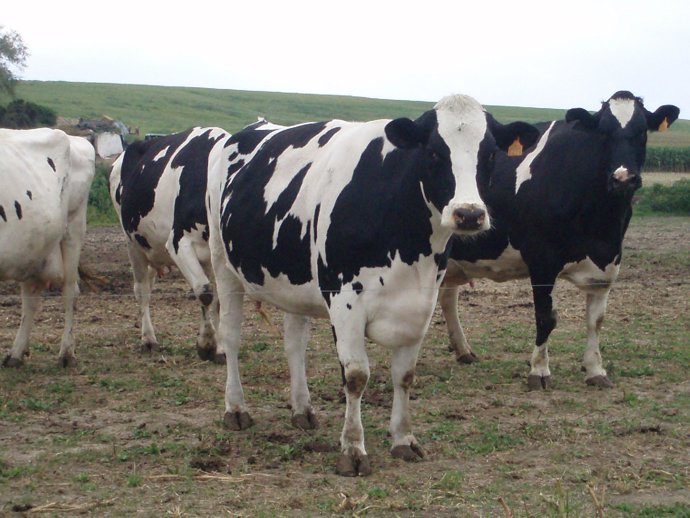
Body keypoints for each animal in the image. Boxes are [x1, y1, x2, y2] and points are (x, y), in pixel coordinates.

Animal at [1, 128, 95, 367]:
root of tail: (75, 139)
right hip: (32, 247)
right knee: (30, 297)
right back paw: (16, 353)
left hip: (73, 228)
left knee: (70, 290)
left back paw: (66, 353)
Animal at [109, 126, 230, 362]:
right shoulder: (178, 243)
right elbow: (205, 292)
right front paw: (206, 344)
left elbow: (219, 299)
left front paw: (220, 348)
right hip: (132, 243)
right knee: (141, 289)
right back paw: (148, 339)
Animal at [206, 95, 540, 476]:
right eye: (434, 152)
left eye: (491, 154)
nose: (469, 214)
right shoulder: (345, 301)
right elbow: (355, 376)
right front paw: (353, 449)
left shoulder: (420, 305)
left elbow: (405, 375)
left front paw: (404, 439)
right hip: (223, 264)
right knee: (232, 336)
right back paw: (236, 409)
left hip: (294, 281)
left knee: (294, 345)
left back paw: (302, 409)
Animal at [439, 91, 680, 389]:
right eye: (603, 133)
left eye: (642, 132)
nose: (623, 178)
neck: (601, 224)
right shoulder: (542, 259)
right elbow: (546, 317)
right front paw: (539, 371)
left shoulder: (607, 263)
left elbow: (595, 321)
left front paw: (595, 370)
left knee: (447, 297)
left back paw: (463, 351)